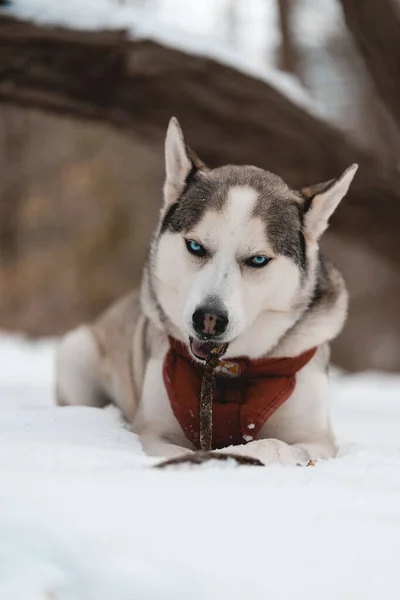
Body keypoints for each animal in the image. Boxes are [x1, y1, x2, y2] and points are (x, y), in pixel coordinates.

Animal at [54, 117, 358, 464]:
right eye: (196, 246)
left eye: (258, 259)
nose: (209, 319)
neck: (230, 371)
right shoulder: (154, 431)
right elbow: (171, 449)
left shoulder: (317, 438)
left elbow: (276, 444)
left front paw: (244, 453)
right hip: (75, 354)